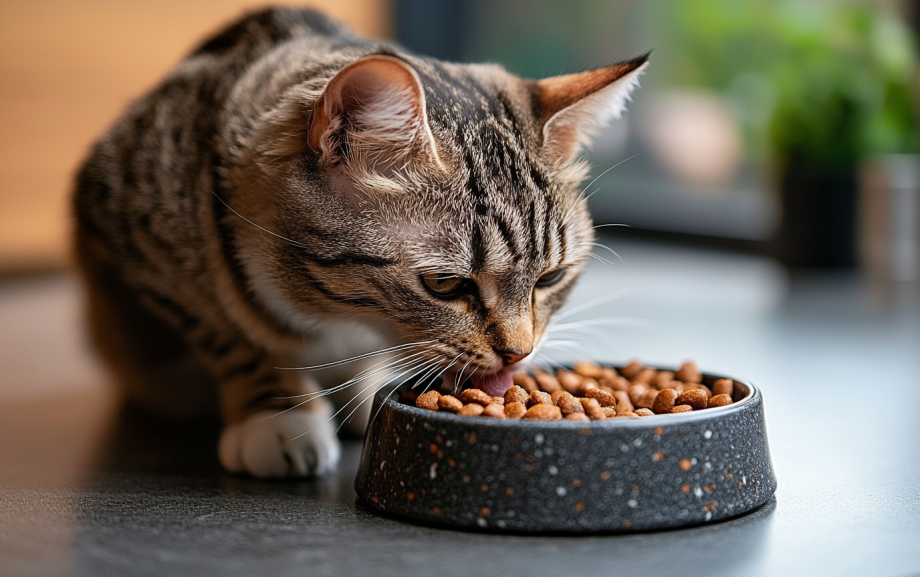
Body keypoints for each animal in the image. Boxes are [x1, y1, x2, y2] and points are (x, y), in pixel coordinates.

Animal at [72, 6, 648, 480]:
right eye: (445, 284)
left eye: (551, 278)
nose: (518, 353)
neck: (340, 317)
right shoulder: (132, 228)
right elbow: (229, 330)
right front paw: (278, 415)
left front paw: (360, 387)